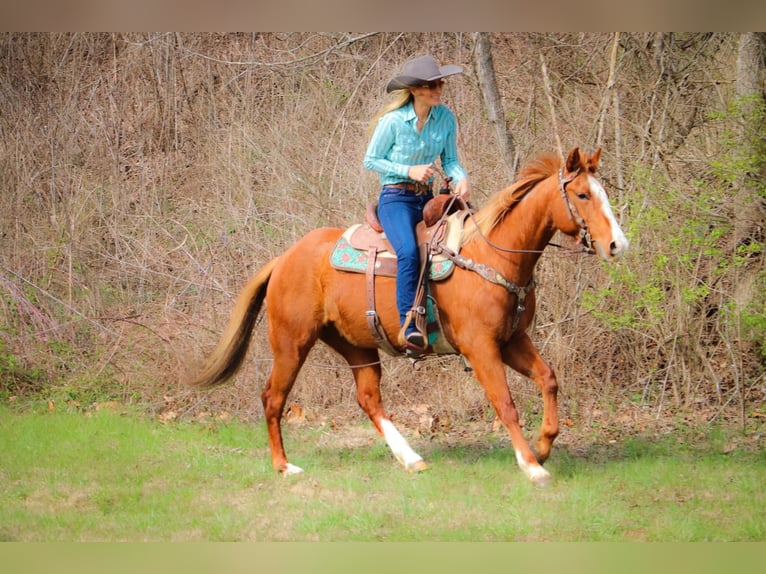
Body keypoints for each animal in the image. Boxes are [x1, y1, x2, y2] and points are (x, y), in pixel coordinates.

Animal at [188, 147, 632, 486]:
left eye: (601, 192)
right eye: (582, 194)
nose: (617, 244)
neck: (491, 254)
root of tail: (284, 259)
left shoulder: (511, 341)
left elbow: (548, 378)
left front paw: (542, 445)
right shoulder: (481, 347)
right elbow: (505, 403)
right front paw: (531, 466)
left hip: (356, 345)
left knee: (369, 400)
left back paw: (410, 458)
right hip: (292, 343)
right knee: (273, 398)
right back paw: (284, 466)